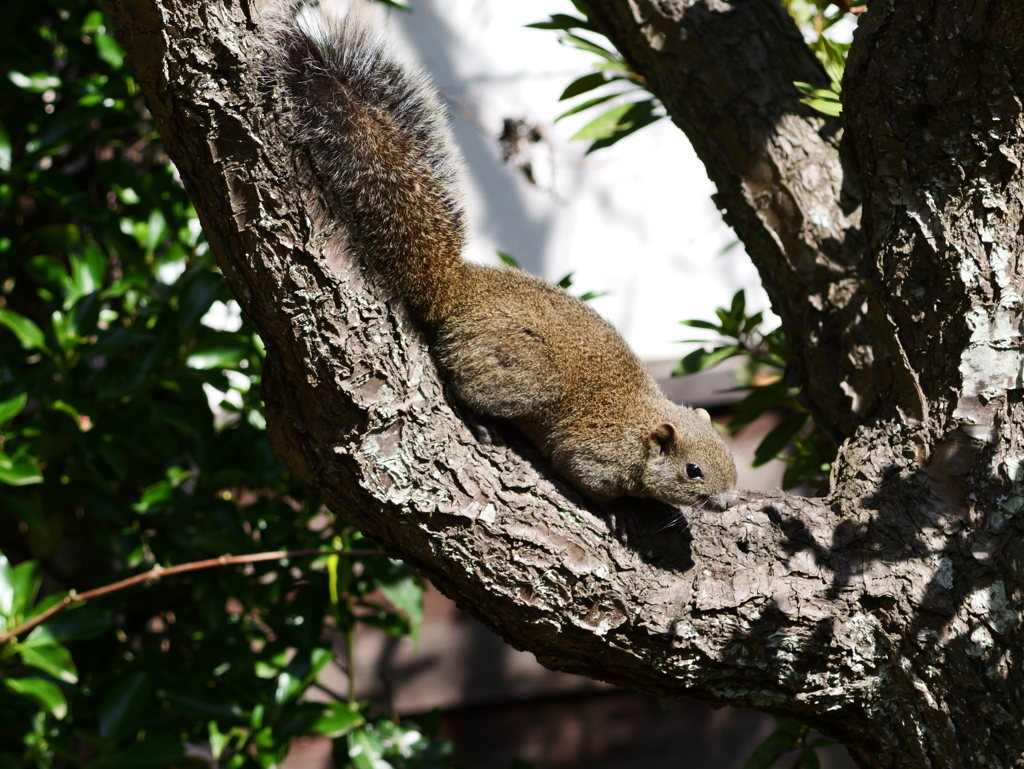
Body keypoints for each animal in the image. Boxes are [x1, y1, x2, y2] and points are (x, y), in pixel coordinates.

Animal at [266, 4, 737, 511]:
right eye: (692, 471)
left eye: (729, 454)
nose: (729, 502)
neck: (637, 428)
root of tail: (455, 290)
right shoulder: (590, 453)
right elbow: (587, 482)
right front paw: (623, 512)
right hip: (518, 373)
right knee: (463, 384)